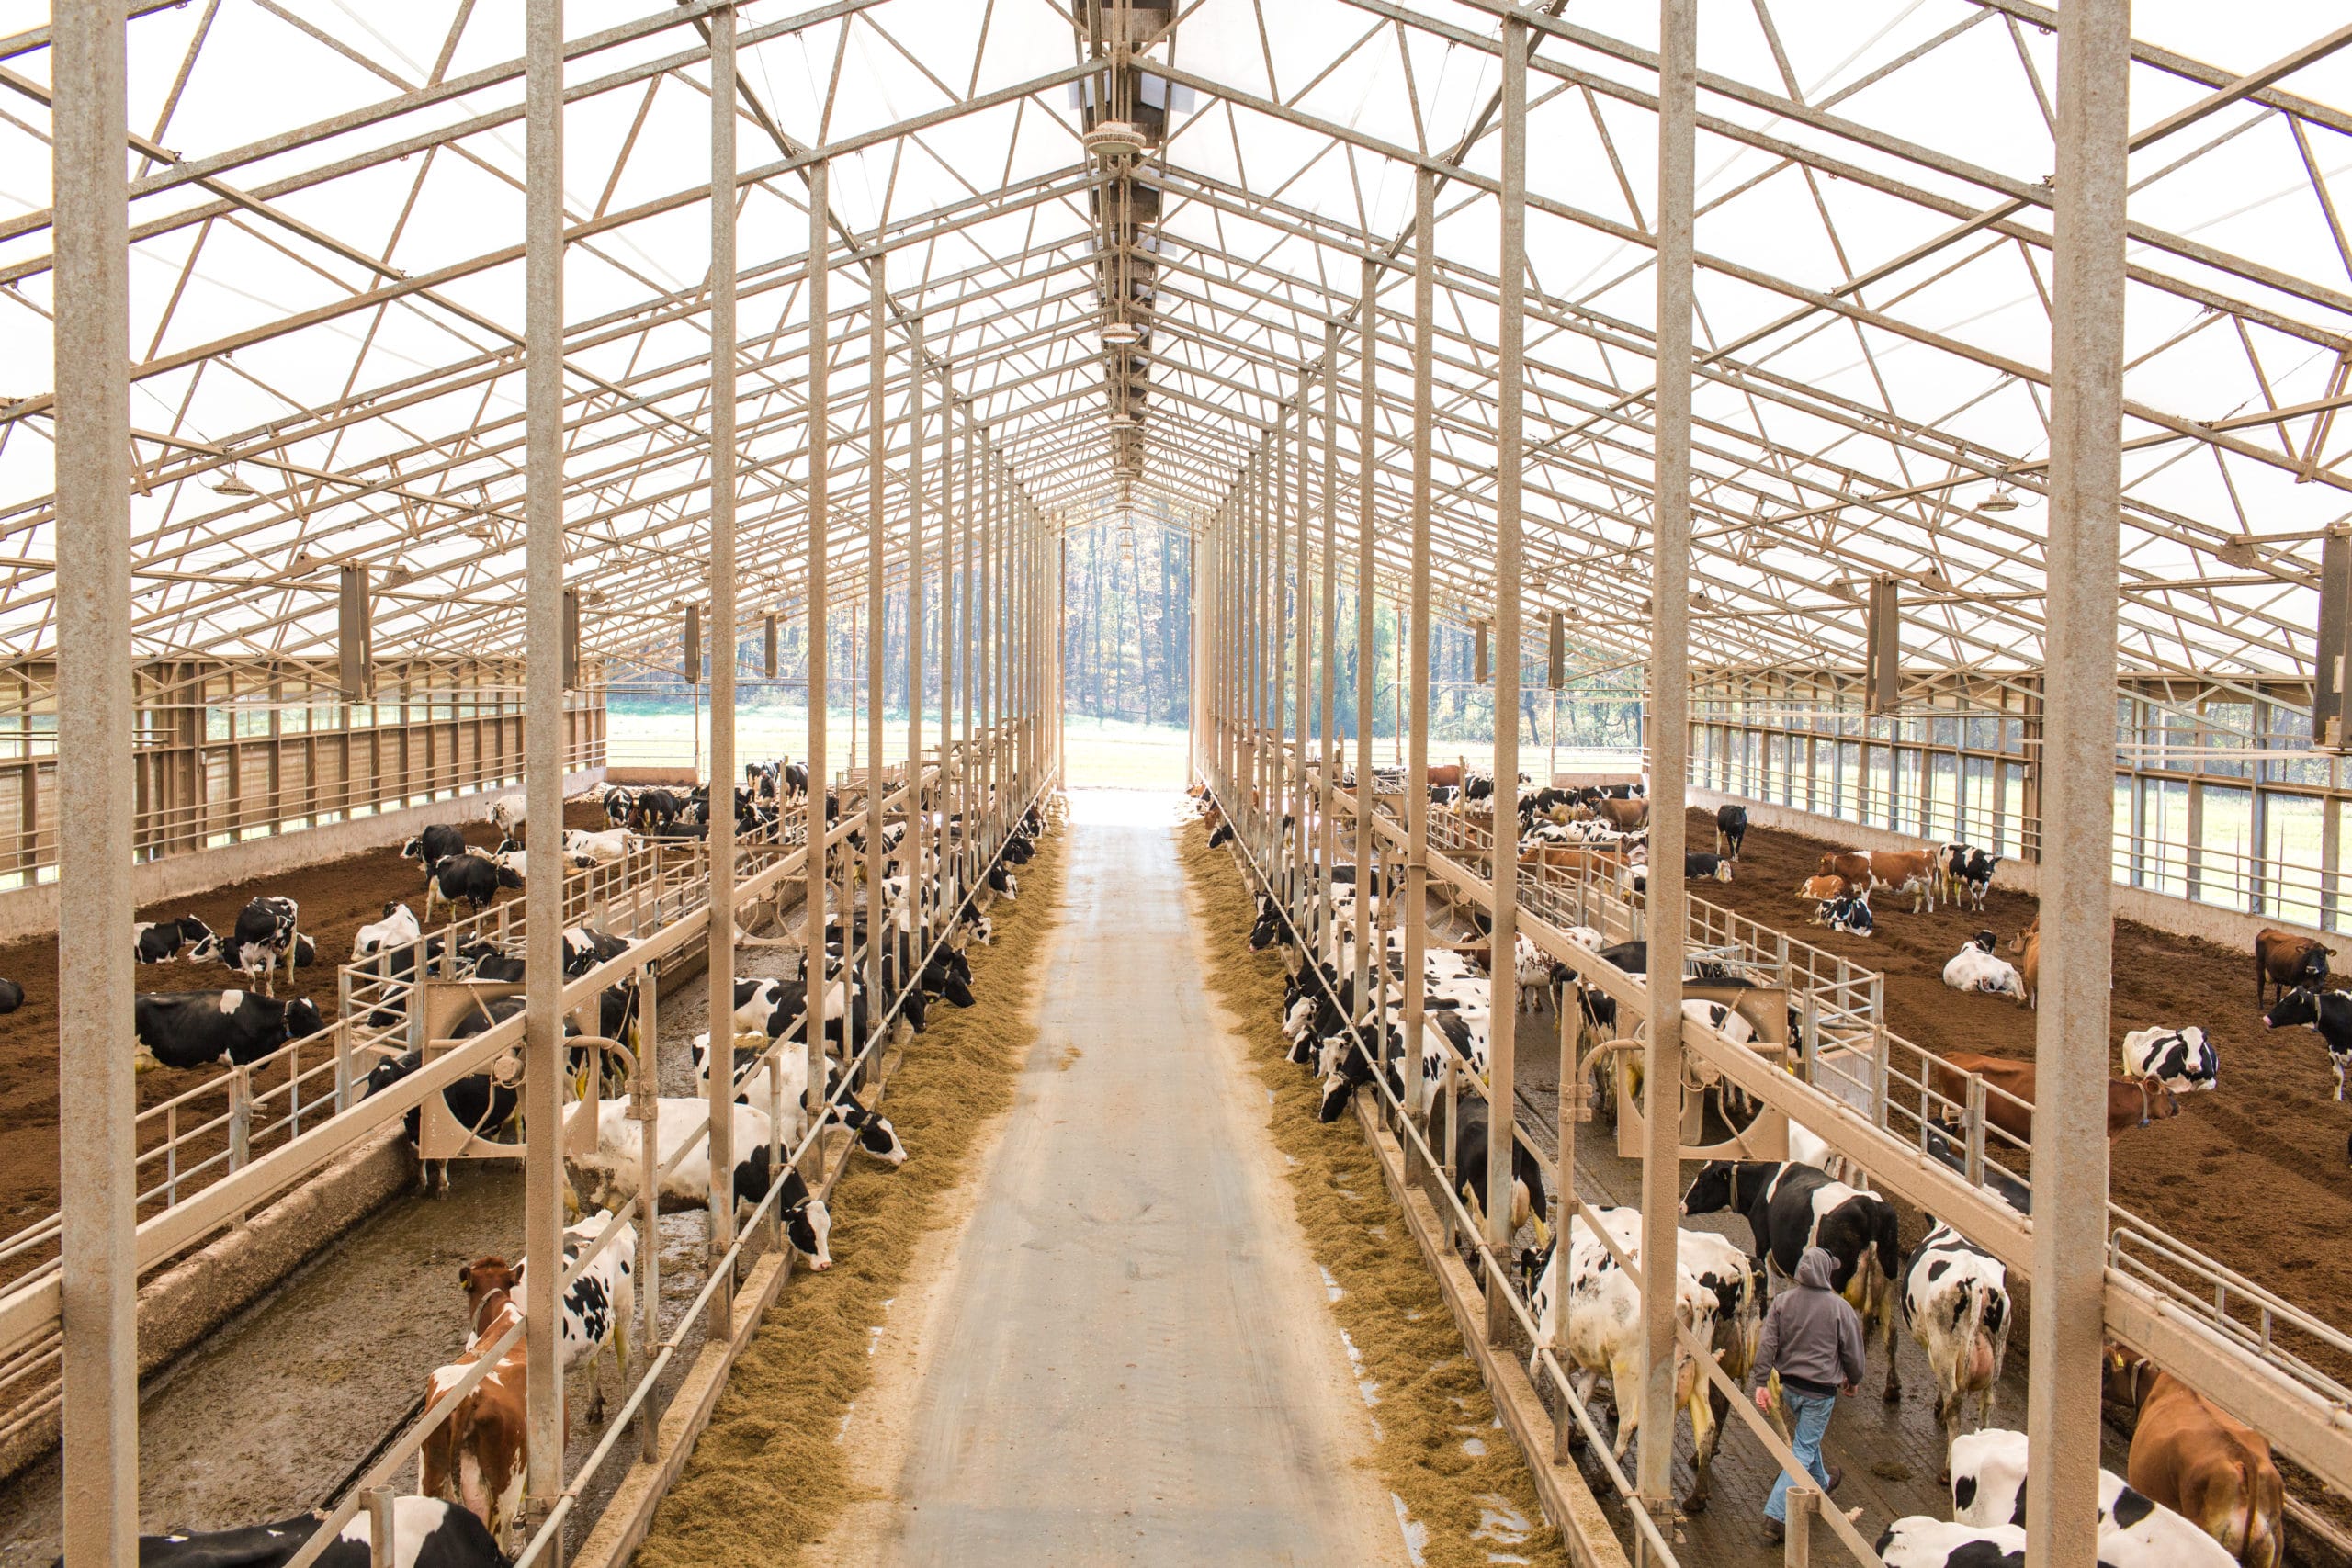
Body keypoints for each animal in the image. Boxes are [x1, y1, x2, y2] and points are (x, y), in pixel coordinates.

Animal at [1900, 1222, 2013, 1476]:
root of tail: (1978, 1281)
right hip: (1998, 1348)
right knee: (1987, 1402)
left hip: (1944, 1347)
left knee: (1954, 1402)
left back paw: (1948, 1467)